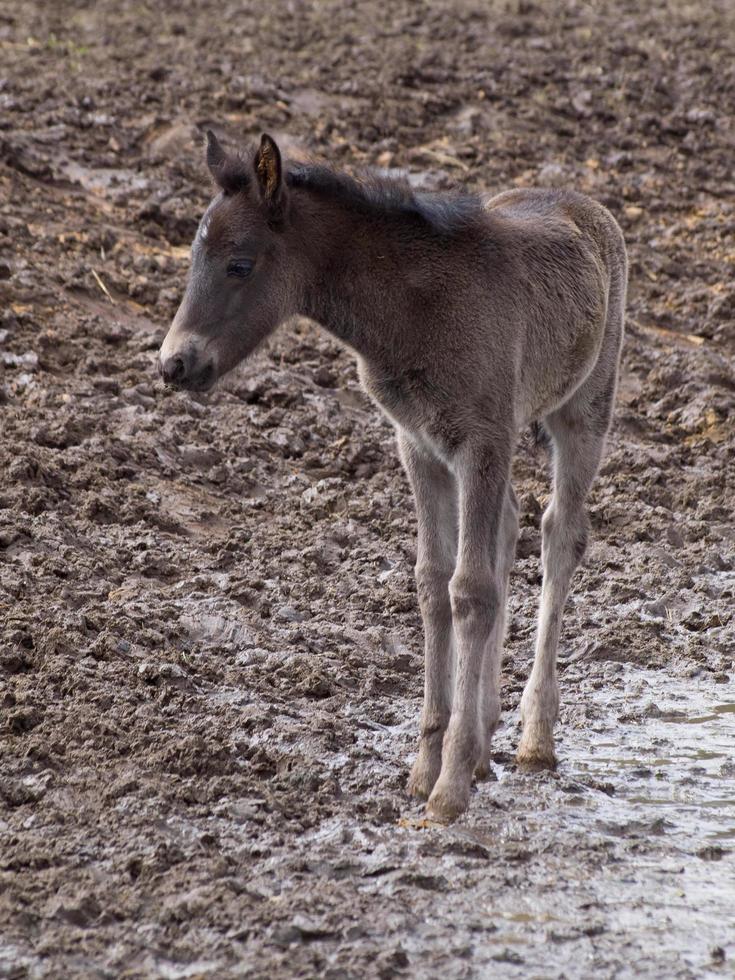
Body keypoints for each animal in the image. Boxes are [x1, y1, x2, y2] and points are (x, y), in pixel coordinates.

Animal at [160, 130, 628, 820]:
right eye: (194, 256)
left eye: (239, 265)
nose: (174, 364)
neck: (410, 312)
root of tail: (582, 201)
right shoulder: (419, 445)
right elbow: (434, 583)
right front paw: (427, 765)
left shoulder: (480, 440)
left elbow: (471, 590)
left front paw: (448, 788)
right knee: (510, 524)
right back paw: (486, 736)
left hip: (584, 410)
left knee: (560, 533)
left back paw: (533, 739)